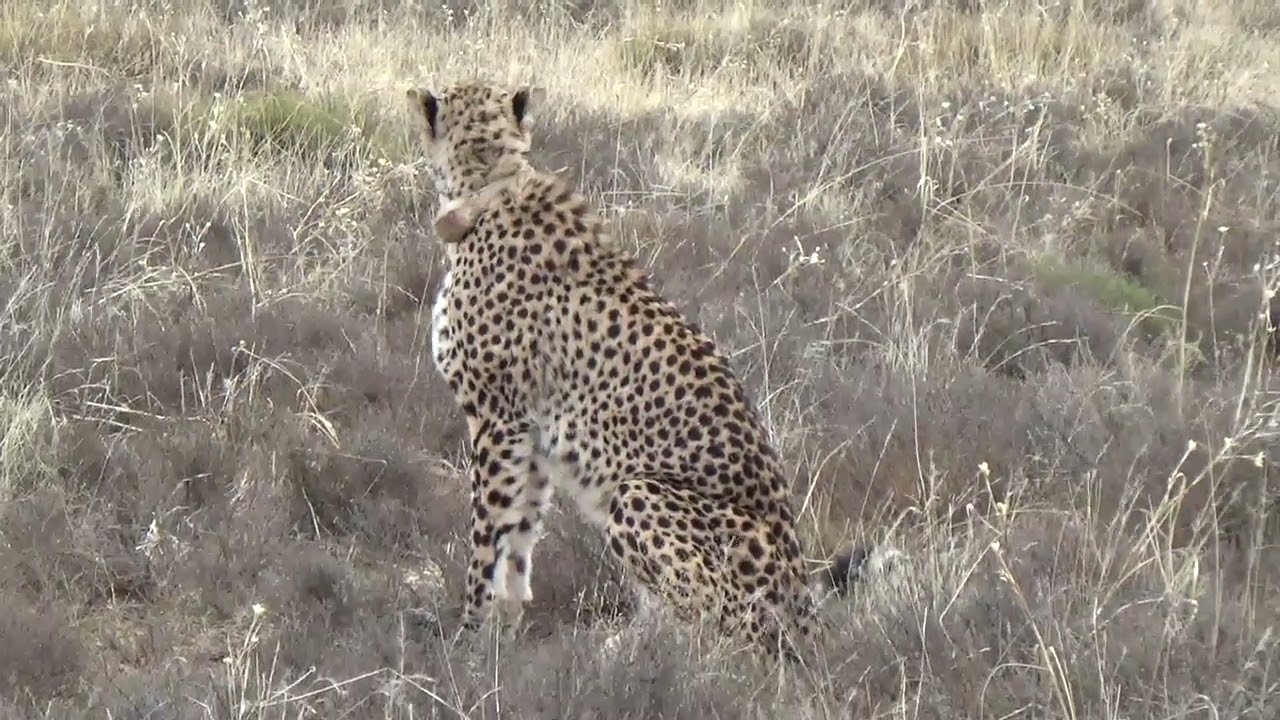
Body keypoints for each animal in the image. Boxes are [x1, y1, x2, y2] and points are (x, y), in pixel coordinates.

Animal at [406, 80, 871, 663]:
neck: (491, 186)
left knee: (726, 631)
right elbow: (518, 543)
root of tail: (804, 601)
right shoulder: (529, 436)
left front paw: (468, 637)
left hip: (638, 494)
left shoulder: (496, 420)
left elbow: (487, 540)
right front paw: (504, 639)